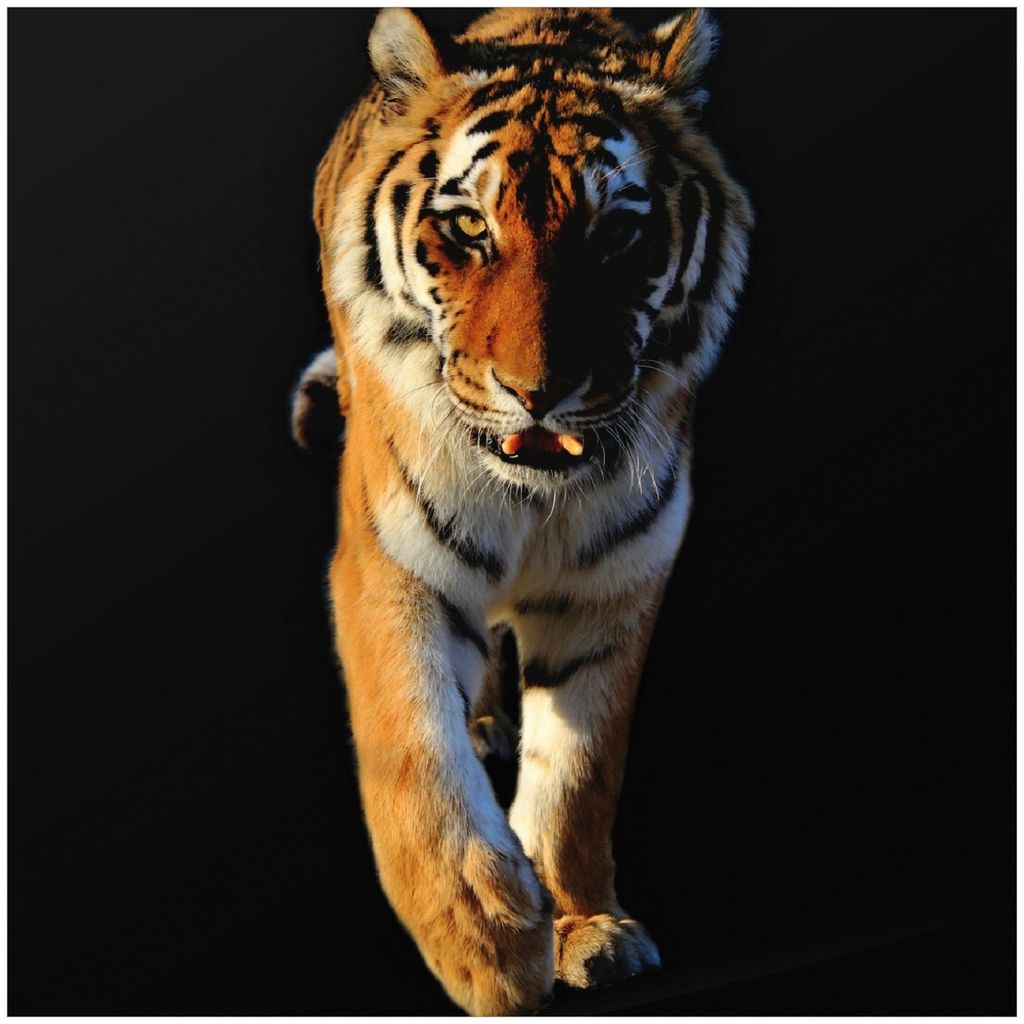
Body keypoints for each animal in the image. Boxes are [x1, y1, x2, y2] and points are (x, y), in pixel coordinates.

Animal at [292, 7, 752, 1015]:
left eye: (615, 233)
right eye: (468, 226)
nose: (537, 392)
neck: (537, 500)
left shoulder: (615, 580)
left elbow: (580, 772)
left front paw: (586, 927)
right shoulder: (392, 561)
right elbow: (411, 751)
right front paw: (485, 941)